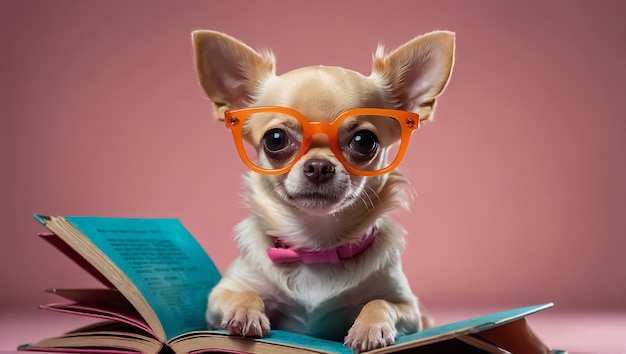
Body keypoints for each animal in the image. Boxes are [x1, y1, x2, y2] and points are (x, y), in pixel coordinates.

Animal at [190, 28, 454, 352]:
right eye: (275, 139)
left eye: (364, 141)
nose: (318, 166)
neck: (317, 247)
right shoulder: (220, 295)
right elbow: (243, 293)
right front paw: (244, 311)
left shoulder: (410, 308)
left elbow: (380, 302)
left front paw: (370, 328)